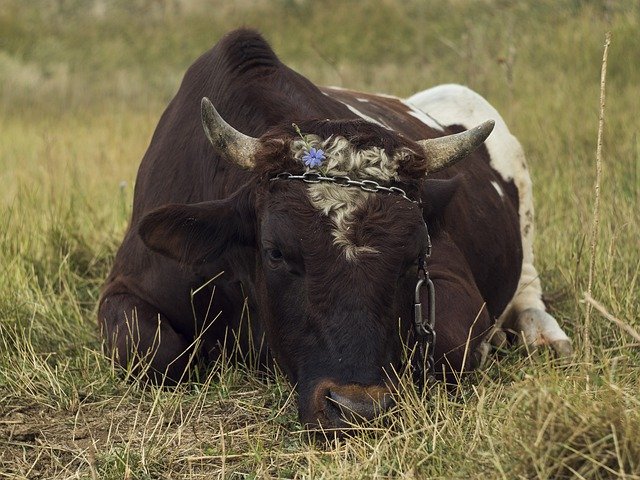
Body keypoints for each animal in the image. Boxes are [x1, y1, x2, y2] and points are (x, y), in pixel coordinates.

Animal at [97, 28, 572, 430]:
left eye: (415, 255)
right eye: (275, 251)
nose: (357, 407)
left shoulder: (450, 282)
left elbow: (451, 344)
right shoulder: (127, 286)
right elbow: (147, 348)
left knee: (528, 291)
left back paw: (544, 337)